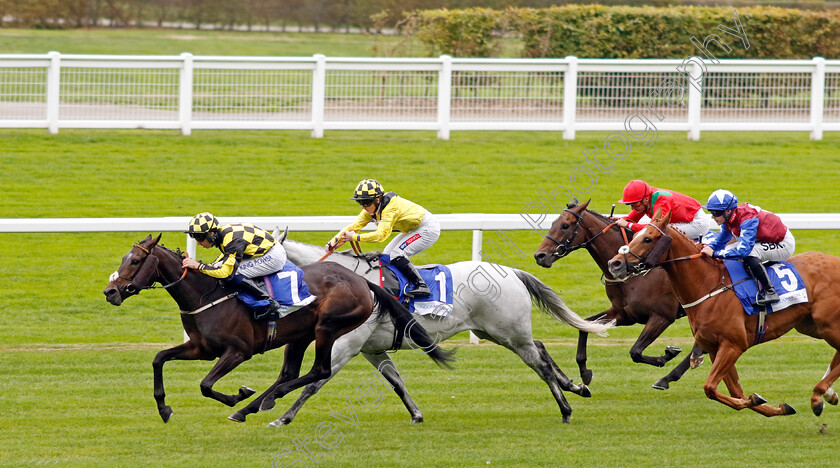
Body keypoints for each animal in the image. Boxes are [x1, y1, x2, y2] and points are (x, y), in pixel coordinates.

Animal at [105, 236, 456, 422]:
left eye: (134, 261)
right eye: (124, 258)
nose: (110, 292)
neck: (208, 295)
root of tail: (362, 281)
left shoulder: (238, 352)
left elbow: (205, 385)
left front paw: (238, 395)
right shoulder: (201, 348)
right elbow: (159, 359)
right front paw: (164, 407)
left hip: (328, 328)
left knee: (319, 371)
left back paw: (262, 401)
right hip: (300, 335)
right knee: (292, 372)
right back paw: (259, 404)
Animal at [532, 199, 704, 390]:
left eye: (565, 225)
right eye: (553, 222)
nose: (540, 255)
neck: (634, 275)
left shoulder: (662, 316)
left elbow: (635, 352)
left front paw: (666, 355)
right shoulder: (624, 314)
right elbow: (585, 325)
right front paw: (585, 372)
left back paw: (669, 376)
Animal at [608, 210, 840, 414]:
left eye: (648, 239)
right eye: (635, 235)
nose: (614, 263)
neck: (708, 286)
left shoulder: (733, 344)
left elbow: (710, 387)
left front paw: (755, 400)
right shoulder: (714, 347)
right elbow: (735, 391)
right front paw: (774, 407)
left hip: (828, 324)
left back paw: (819, 395)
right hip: (809, 325)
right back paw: (827, 394)